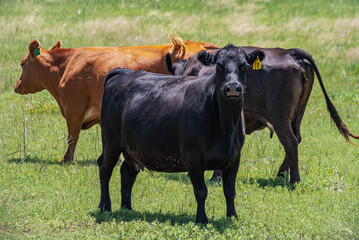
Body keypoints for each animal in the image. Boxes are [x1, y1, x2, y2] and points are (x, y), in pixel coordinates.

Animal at [14, 36, 219, 162]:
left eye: (22, 63)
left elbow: (72, 137)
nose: (16, 85)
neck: (67, 65)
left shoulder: (74, 109)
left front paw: (66, 160)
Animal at [97, 44, 266, 224]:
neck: (225, 126)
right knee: (105, 168)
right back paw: (104, 206)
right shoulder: (193, 156)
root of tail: (123, 72)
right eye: (219, 66)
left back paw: (126, 208)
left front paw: (232, 217)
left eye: (244, 66)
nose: (232, 88)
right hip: (111, 141)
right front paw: (201, 219)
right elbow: (201, 191)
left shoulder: (234, 157)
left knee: (127, 172)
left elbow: (229, 191)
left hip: (132, 148)